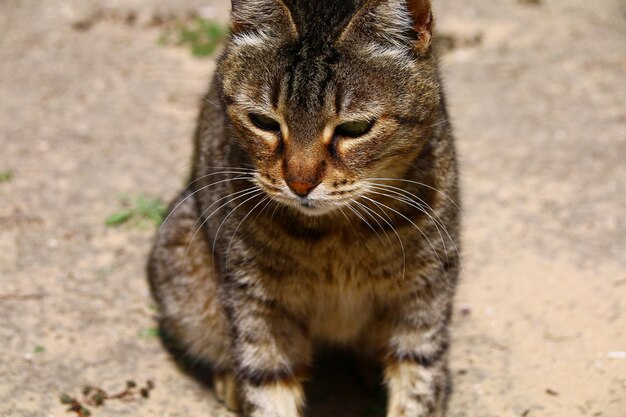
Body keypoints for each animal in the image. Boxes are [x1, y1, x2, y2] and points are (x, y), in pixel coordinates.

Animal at [146, 0, 458, 416]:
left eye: (355, 128)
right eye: (263, 121)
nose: (300, 184)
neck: (339, 238)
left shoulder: (425, 295)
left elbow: (418, 386)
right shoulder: (257, 304)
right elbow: (266, 386)